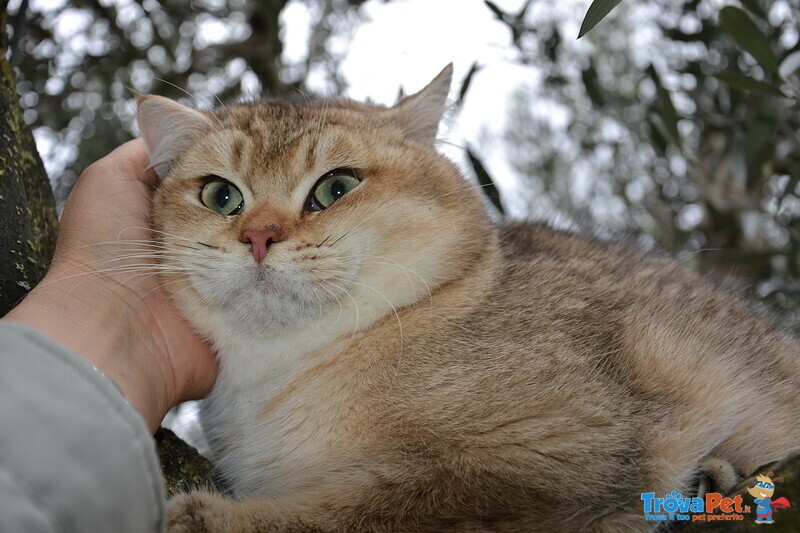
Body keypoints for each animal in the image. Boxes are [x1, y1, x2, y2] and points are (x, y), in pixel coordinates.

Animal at [138, 66, 800, 532]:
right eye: (220, 196)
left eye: (336, 187)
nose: (258, 237)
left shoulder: (550, 454)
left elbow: (370, 509)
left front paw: (205, 519)